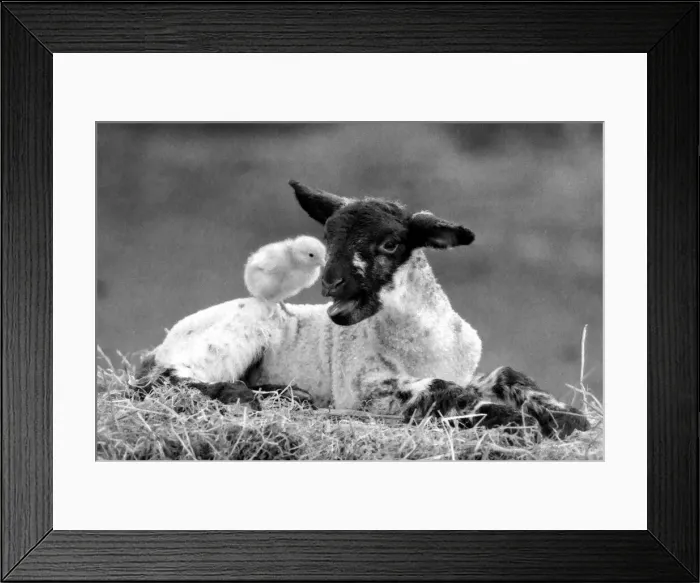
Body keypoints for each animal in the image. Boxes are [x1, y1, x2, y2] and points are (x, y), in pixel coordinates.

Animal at [133, 180, 589, 437]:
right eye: (327, 238)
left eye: (390, 243)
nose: (330, 282)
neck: (422, 345)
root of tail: (164, 341)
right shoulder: (364, 392)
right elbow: (440, 389)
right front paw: (512, 419)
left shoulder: (469, 370)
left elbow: (507, 374)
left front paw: (566, 417)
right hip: (229, 335)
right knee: (160, 382)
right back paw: (238, 393)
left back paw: (288, 395)